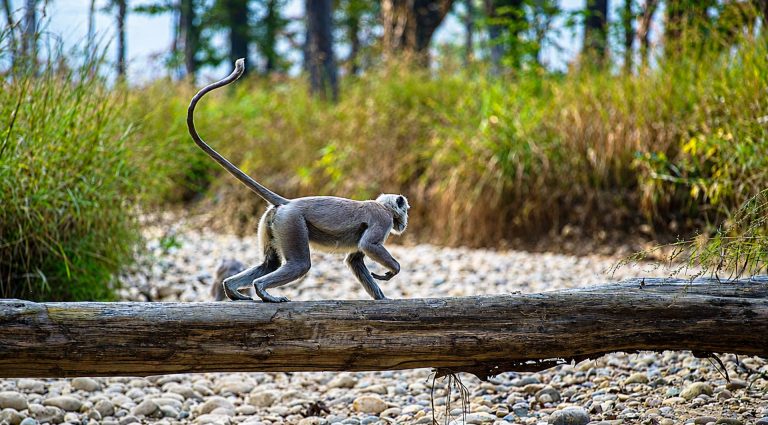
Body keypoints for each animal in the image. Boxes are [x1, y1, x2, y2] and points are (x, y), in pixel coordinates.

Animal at [187, 58, 409, 303]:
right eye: (405, 210)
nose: (405, 221)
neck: (382, 206)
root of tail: (288, 203)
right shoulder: (382, 219)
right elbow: (368, 245)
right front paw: (394, 270)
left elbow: (355, 259)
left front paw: (382, 298)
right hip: (291, 221)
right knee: (300, 263)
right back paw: (262, 290)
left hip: (273, 221)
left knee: (270, 263)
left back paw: (232, 289)